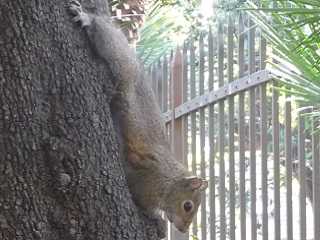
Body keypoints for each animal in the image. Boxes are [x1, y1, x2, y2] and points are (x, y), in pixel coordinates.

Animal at [67, 0, 208, 238]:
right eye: (188, 205)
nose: (181, 228)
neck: (170, 180)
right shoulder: (148, 183)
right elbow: (143, 203)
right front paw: (158, 221)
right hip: (120, 62)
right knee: (105, 35)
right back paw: (87, 18)